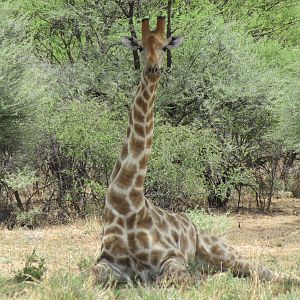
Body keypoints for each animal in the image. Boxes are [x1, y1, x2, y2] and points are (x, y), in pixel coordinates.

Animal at [92, 16, 298, 286]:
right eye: (140, 47)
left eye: (165, 46)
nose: (153, 69)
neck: (126, 201)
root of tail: (191, 223)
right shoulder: (106, 261)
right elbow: (93, 276)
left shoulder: (172, 256)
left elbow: (171, 279)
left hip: (220, 249)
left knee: (260, 270)